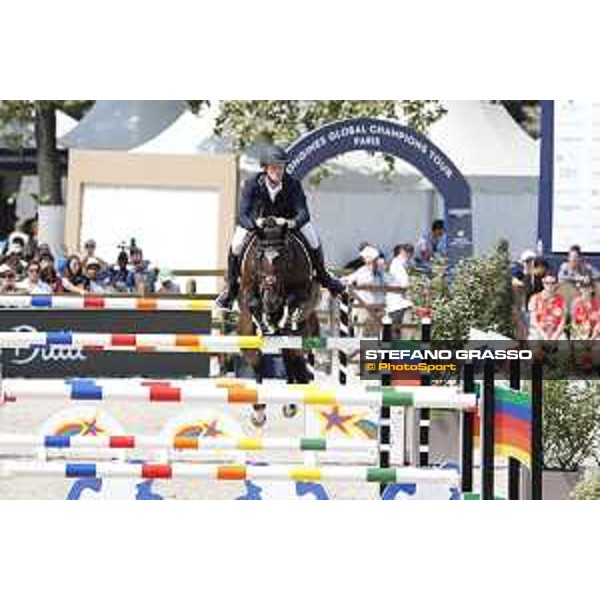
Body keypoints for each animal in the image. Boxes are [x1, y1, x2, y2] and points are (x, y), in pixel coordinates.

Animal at [237, 217, 321, 426]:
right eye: (259, 256)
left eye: (284, 256)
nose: (272, 301)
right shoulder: (248, 287)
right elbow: (253, 302)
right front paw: (266, 322)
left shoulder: (301, 290)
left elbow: (292, 299)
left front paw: (285, 316)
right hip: (246, 333)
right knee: (258, 360)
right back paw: (259, 412)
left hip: (301, 335)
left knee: (292, 359)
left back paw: (290, 403)